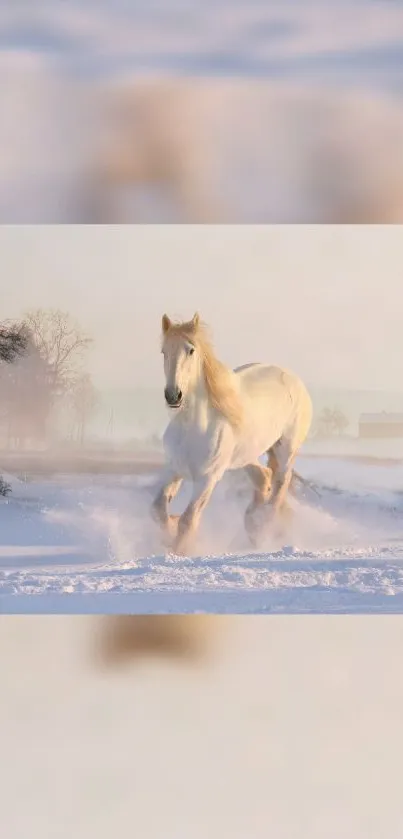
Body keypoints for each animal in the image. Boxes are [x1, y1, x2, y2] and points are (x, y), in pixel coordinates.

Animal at [152, 312, 312, 556]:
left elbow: (188, 520)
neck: (193, 428)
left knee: (279, 485)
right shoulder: (174, 469)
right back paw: (253, 523)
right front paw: (170, 529)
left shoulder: (207, 478)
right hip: (246, 456)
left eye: (191, 350)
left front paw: (178, 551)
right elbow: (158, 510)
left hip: (286, 449)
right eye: (164, 351)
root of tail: (293, 378)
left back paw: (262, 526)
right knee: (264, 477)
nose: (173, 395)